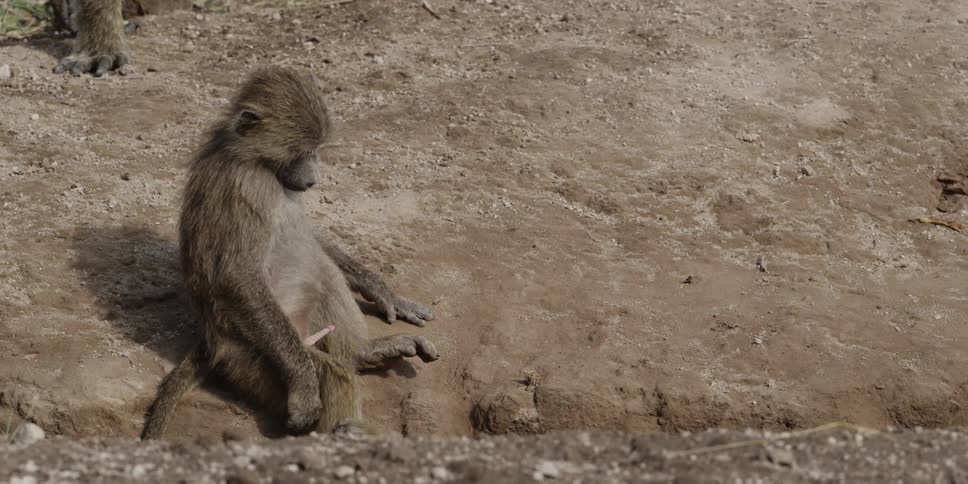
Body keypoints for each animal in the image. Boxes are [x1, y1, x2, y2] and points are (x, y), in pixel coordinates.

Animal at [140, 67, 439, 440]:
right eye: (298, 151)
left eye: (317, 149)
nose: (313, 180)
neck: (256, 161)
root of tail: (211, 344)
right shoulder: (244, 185)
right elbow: (238, 275)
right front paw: (305, 390)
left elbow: (313, 239)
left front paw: (385, 293)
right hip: (251, 357)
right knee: (330, 372)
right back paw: (344, 427)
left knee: (323, 271)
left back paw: (362, 352)